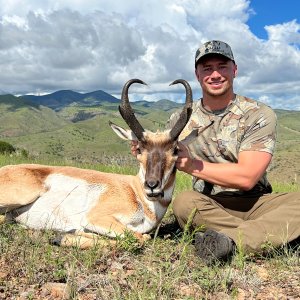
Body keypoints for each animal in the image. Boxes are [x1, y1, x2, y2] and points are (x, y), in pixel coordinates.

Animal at [0, 79, 192, 248]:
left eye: (175, 150)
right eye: (139, 149)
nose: (152, 185)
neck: (135, 190)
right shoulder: (96, 218)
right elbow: (139, 237)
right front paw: (63, 236)